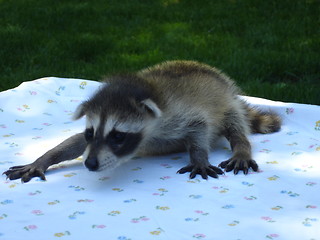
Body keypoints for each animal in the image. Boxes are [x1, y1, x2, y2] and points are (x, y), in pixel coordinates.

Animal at [4, 60, 280, 182]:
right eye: (91, 133)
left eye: (117, 136)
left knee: (235, 127)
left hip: (228, 104)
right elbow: (74, 143)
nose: (90, 163)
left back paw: (241, 147)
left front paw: (199, 157)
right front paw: (44, 159)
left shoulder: (181, 114)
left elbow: (200, 129)